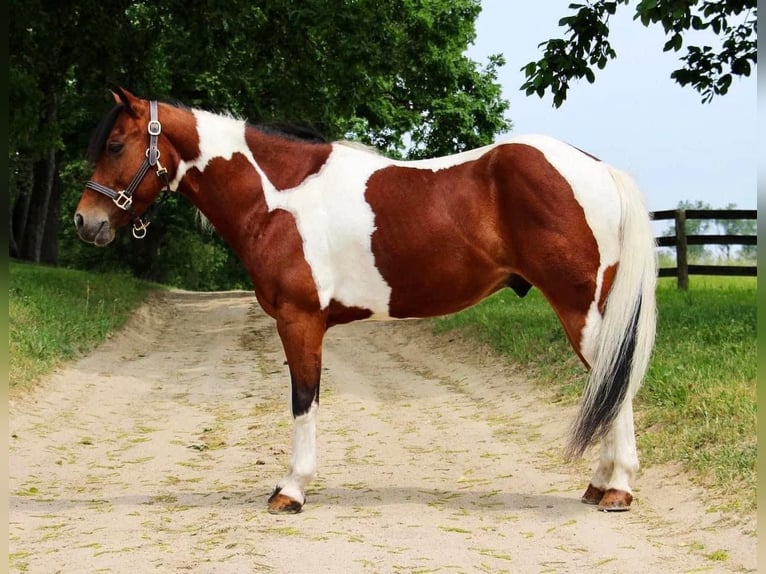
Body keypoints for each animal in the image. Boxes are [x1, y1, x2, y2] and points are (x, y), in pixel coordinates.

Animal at [75, 88, 656, 516]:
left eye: (115, 145)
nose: (86, 222)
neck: (279, 196)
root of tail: (598, 168)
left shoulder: (300, 320)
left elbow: (303, 399)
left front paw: (291, 490)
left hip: (581, 311)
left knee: (615, 381)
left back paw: (618, 490)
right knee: (610, 385)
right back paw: (599, 485)